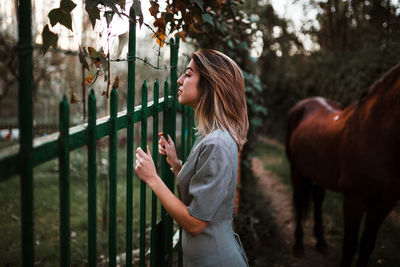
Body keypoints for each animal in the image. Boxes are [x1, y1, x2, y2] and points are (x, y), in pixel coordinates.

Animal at [284, 63, 400, 267]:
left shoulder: (384, 204)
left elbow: (367, 245)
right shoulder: (354, 200)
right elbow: (350, 245)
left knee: (318, 199)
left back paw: (321, 242)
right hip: (297, 170)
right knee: (299, 201)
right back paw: (298, 245)